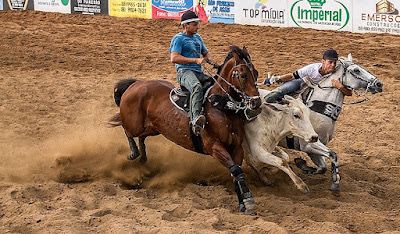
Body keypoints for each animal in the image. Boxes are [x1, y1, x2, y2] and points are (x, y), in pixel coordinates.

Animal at [108, 45, 260, 214]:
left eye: (256, 73)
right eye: (243, 75)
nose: (256, 103)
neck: (221, 107)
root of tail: (136, 84)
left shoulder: (237, 147)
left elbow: (236, 172)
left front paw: (243, 204)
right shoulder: (214, 146)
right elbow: (237, 171)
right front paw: (249, 201)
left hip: (154, 127)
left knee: (142, 137)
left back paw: (143, 157)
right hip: (135, 124)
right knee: (127, 130)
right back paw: (134, 153)